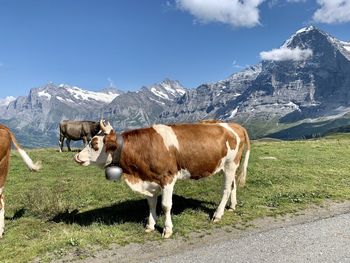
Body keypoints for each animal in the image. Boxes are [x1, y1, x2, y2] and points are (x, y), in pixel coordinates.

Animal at [74, 120, 249, 238]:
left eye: (94, 144)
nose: (77, 156)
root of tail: (235, 125)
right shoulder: (149, 181)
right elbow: (151, 204)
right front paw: (150, 226)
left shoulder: (167, 178)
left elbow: (165, 205)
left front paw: (167, 229)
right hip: (227, 167)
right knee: (233, 186)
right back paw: (232, 206)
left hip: (230, 165)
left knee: (226, 189)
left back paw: (218, 215)